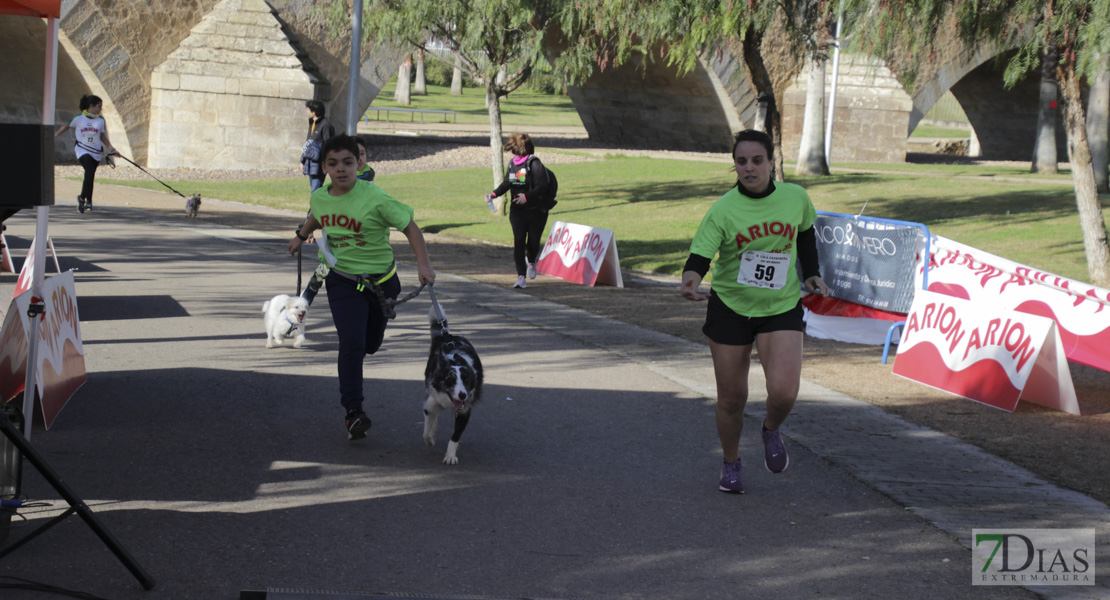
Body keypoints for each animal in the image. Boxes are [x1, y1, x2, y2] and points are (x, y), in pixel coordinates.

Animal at [419, 306, 481, 465]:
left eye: (466, 380)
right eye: (450, 380)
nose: (462, 395)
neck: (455, 360)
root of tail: (448, 336)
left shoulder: (465, 410)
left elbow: (455, 436)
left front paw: (450, 455)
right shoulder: (431, 401)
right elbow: (426, 430)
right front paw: (430, 439)